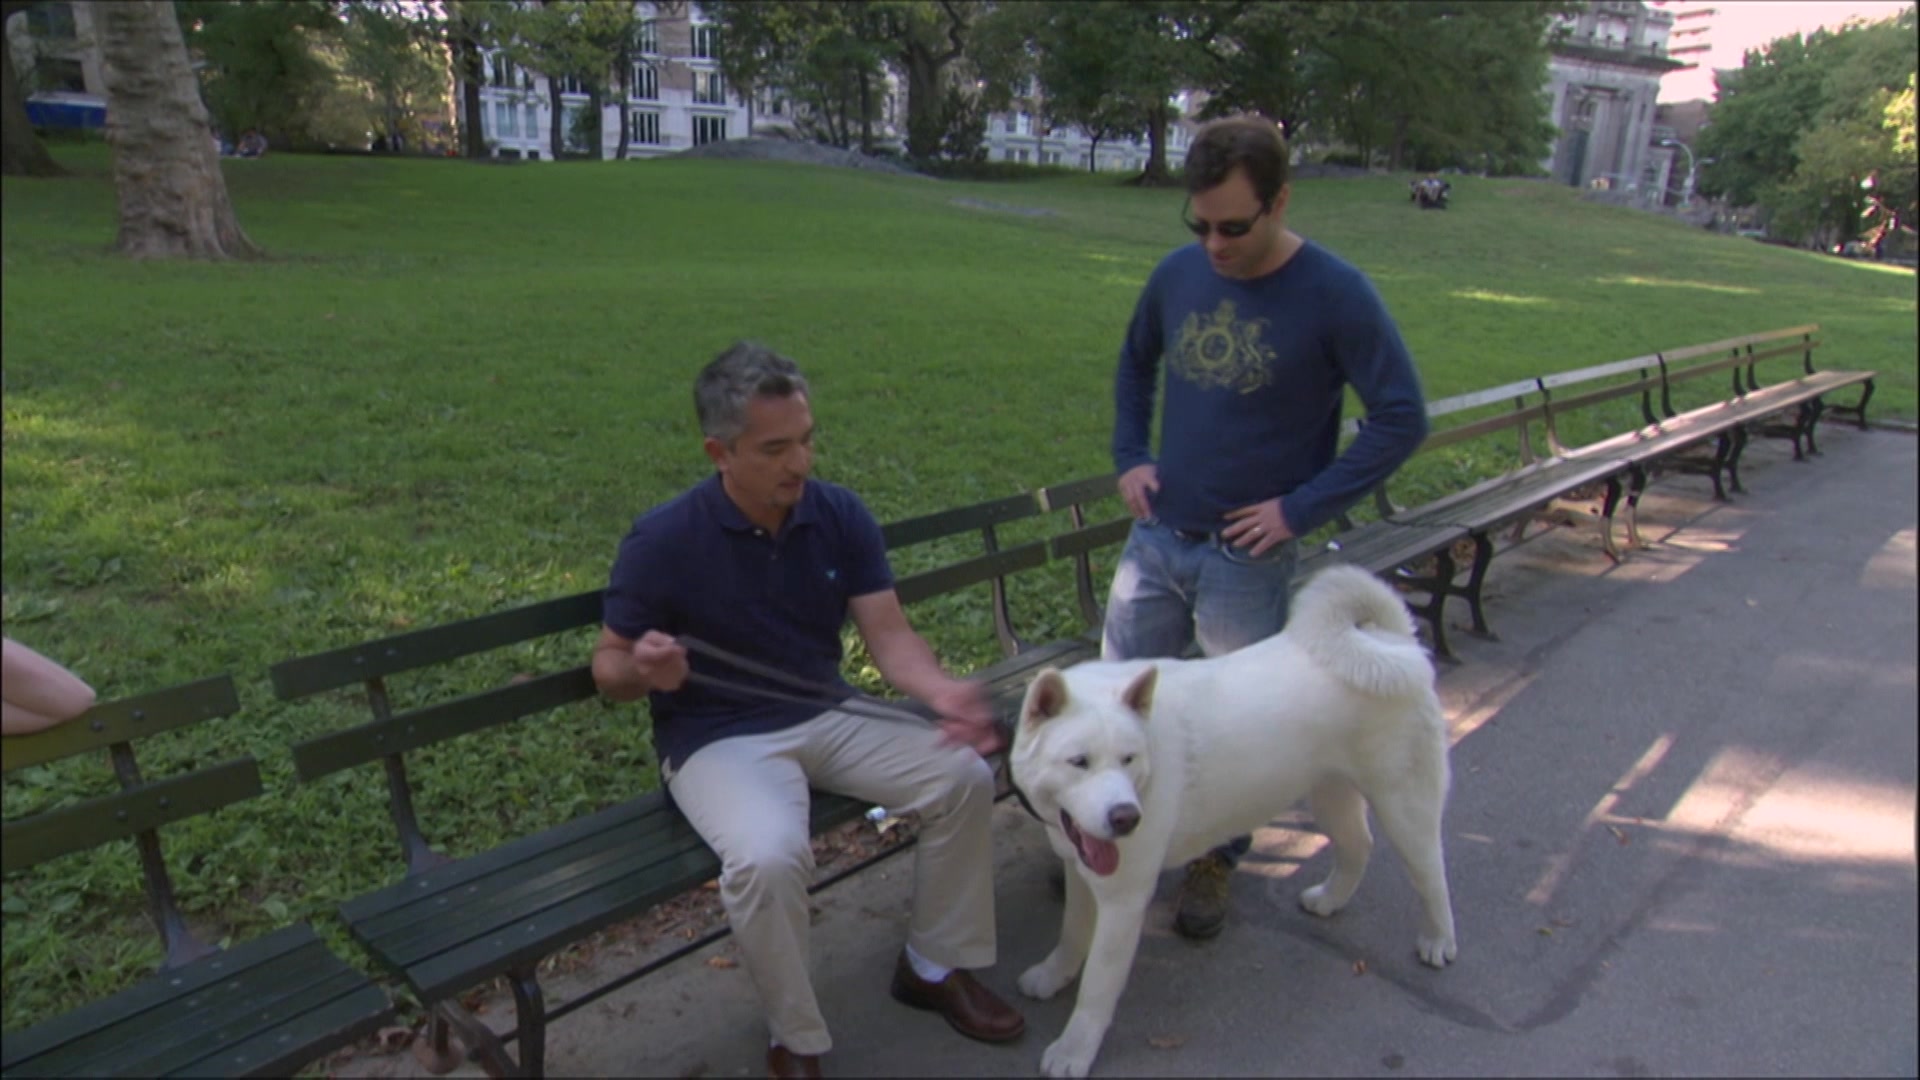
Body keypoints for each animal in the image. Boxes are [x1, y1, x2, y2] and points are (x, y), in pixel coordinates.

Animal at [1009, 565, 1458, 1078]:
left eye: (1128, 759)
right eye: (1079, 762)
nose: (1126, 818)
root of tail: (1390, 638)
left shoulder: (1123, 901)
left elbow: (1097, 989)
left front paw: (1074, 1049)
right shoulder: (1081, 872)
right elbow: (1071, 933)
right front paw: (1053, 974)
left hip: (1404, 804)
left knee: (1431, 872)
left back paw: (1438, 939)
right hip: (1329, 793)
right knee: (1358, 845)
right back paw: (1330, 899)